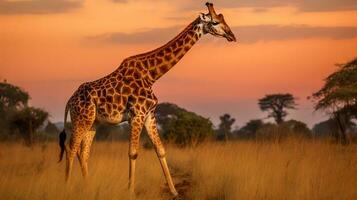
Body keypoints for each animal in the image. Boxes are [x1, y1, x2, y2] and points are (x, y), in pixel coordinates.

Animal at [57, 2, 236, 196]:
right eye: (215, 22)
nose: (232, 35)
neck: (151, 75)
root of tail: (69, 101)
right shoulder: (137, 115)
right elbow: (133, 152)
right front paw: (130, 191)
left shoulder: (150, 114)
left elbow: (161, 150)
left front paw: (174, 191)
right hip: (82, 119)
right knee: (71, 148)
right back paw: (67, 187)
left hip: (93, 123)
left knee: (83, 152)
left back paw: (88, 187)